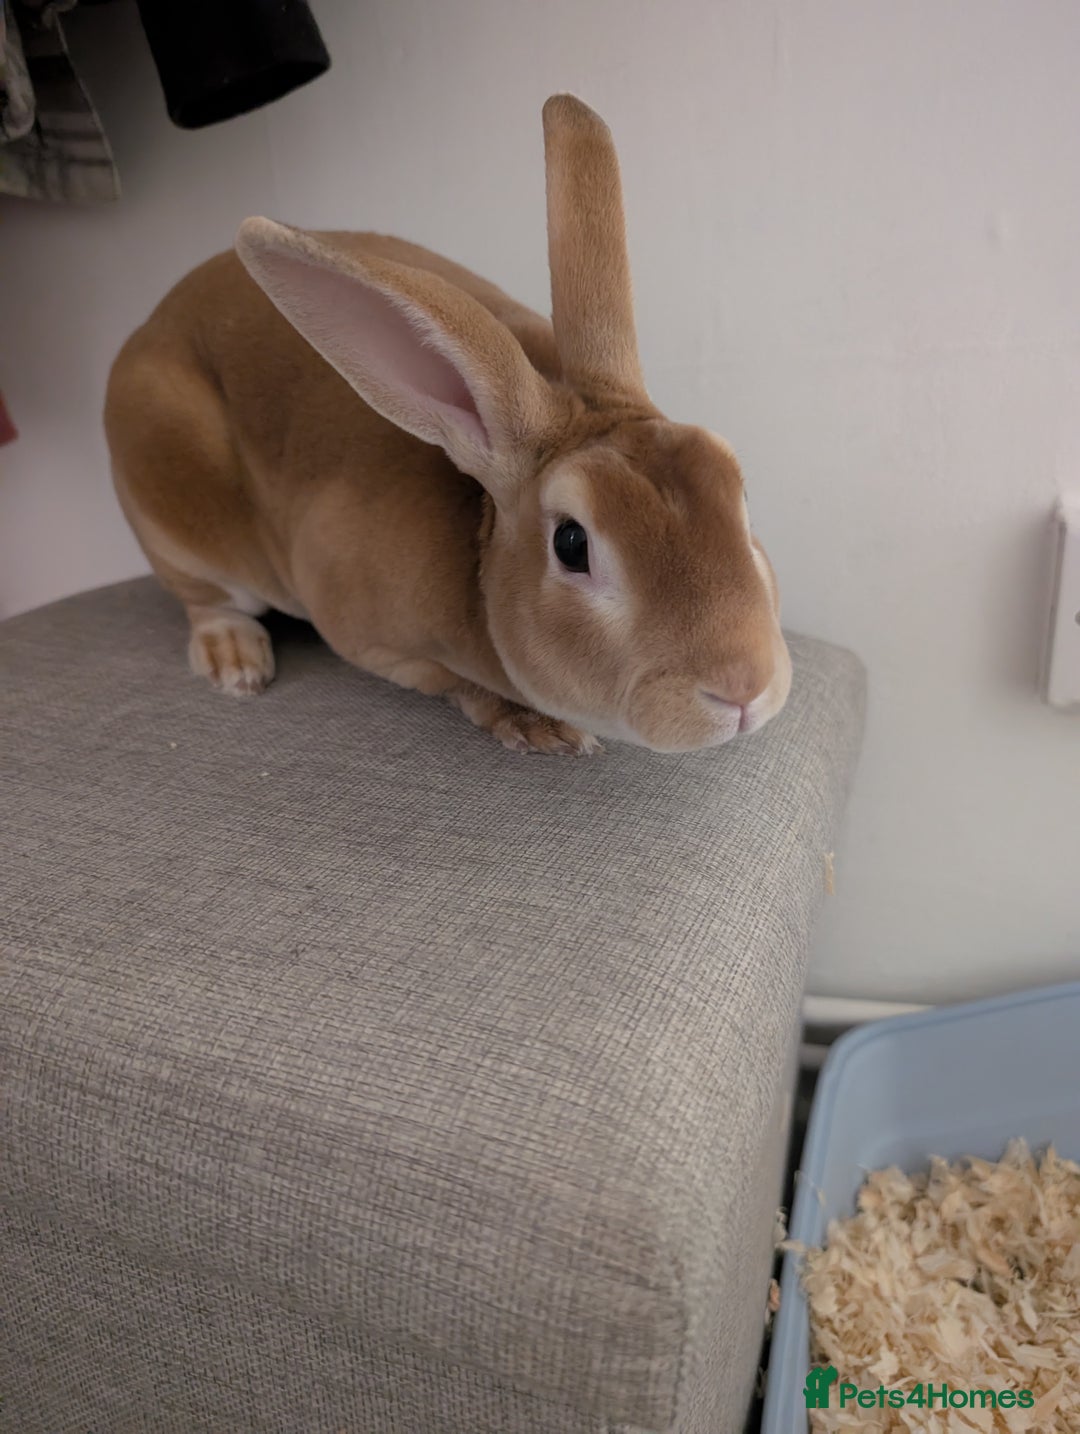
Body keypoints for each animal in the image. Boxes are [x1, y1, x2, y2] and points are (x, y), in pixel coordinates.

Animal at [105, 94, 791, 755]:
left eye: (741, 497)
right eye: (572, 544)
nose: (743, 688)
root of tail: (146, 330)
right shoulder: (368, 634)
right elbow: (451, 681)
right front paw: (538, 727)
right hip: (170, 500)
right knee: (207, 600)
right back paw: (236, 662)